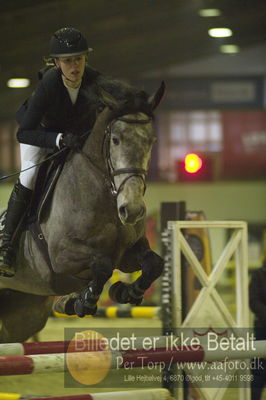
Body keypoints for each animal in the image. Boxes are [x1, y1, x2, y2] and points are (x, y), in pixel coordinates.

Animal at [0, 81, 165, 344]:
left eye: (152, 140)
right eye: (115, 140)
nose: (132, 210)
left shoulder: (127, 253)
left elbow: (153, 264)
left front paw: (126, 291)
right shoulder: (61, 256)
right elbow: (102, 265)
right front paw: (82, 301)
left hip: (23, 313)